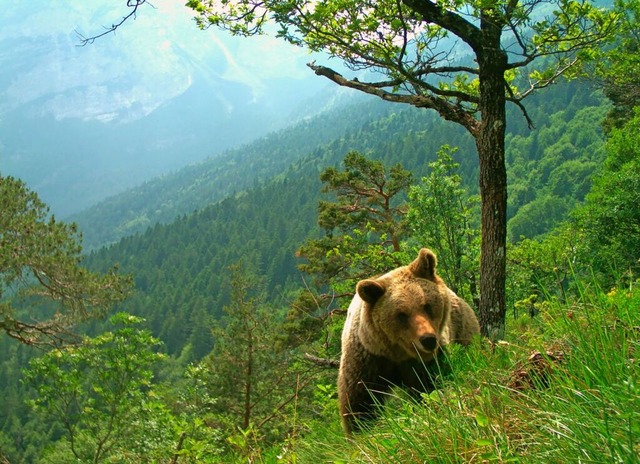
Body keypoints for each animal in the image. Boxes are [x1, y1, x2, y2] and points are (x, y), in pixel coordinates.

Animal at [338, 248, 478, 434]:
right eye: (401, 314)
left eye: (426, 305)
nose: (428, 340)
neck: (398, 353)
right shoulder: (368, 358)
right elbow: (360, 400)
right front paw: (361, 429)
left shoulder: (427, 362)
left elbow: (431, 386)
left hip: (463, 328)